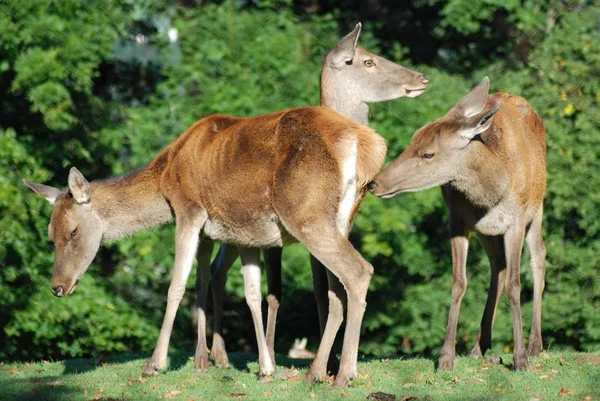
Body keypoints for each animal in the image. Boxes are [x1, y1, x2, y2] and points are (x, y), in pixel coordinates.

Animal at [207, 21, 432, 372]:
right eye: (368, 61)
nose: (421, 78)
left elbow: (324, 289)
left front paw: (327, 362)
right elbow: (318, 289)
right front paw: (324, 363)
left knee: (220, 272)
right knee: (219, 272)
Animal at [368, 76, 548, 370]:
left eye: (428, 154)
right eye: (412, 140)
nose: (374, 183)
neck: (493, 193)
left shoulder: (517, 220)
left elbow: (515, 284)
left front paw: (520, 359)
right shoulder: (458, 221)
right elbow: (458, 283)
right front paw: (445, 357)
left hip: (538, 206)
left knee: (539, 258)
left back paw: (535, 345)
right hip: (487, 231)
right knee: (497, 267)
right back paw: (479, 346)